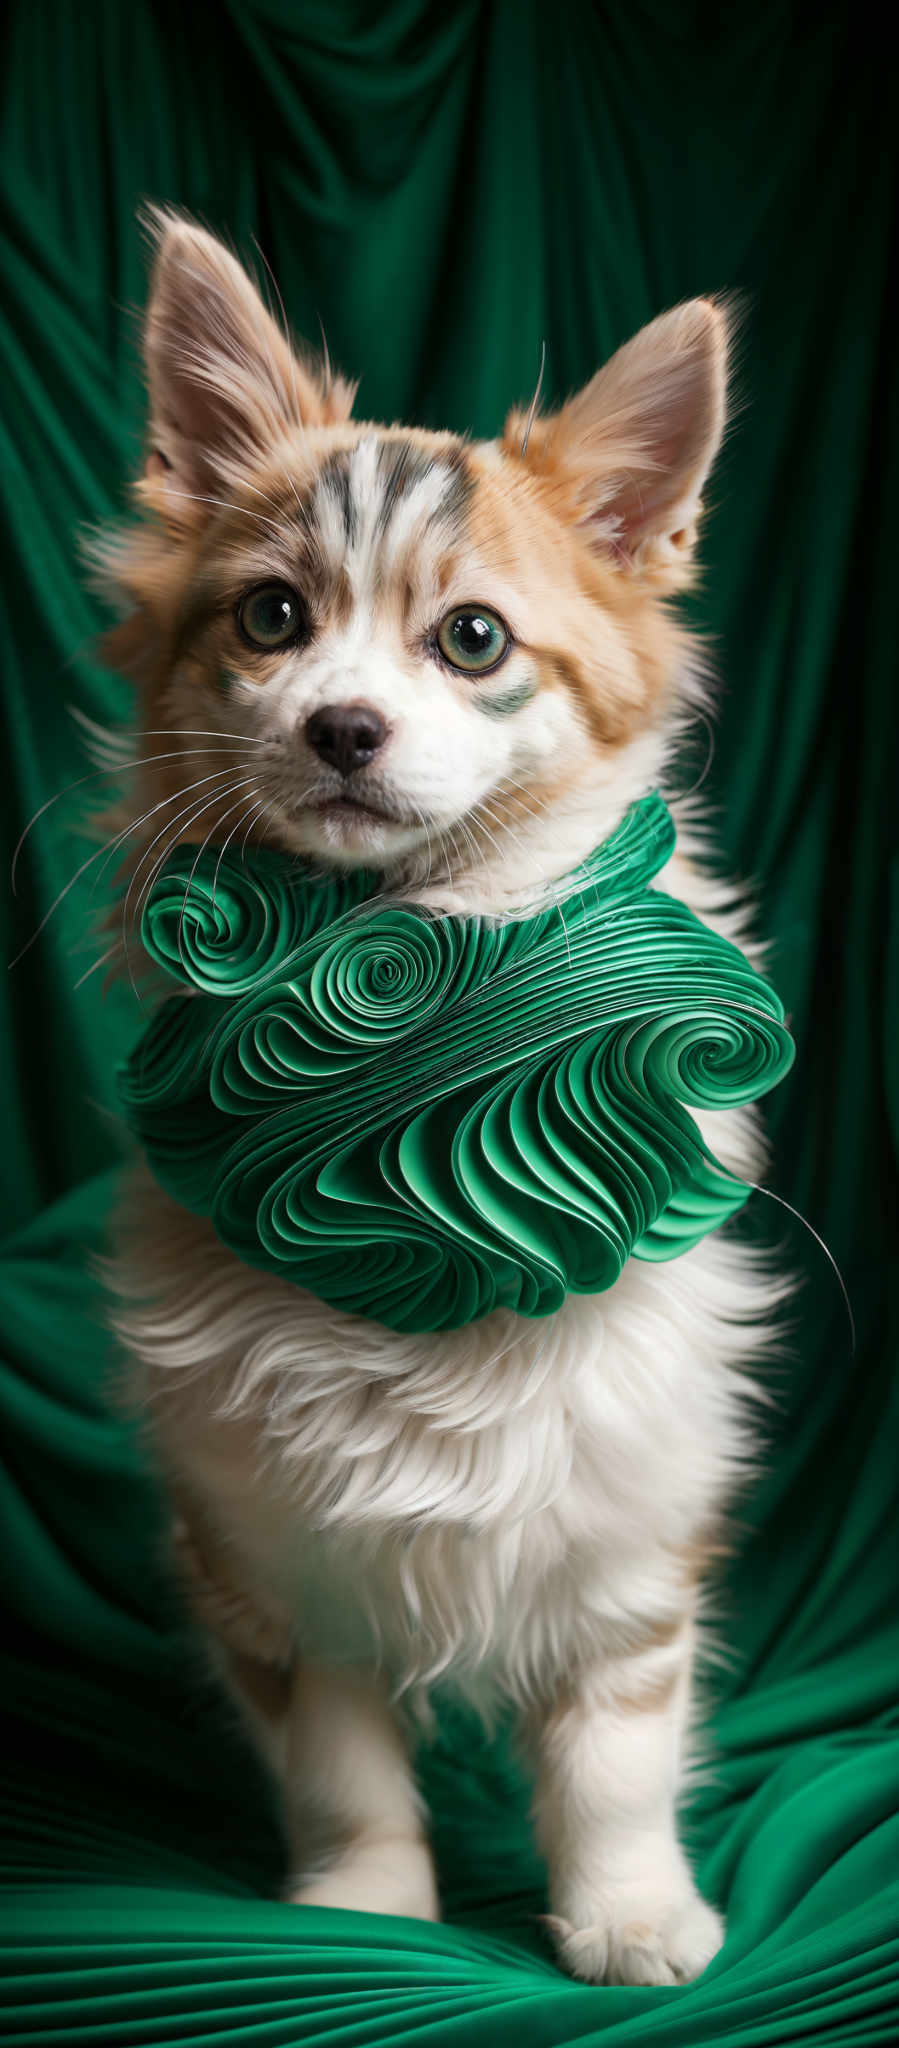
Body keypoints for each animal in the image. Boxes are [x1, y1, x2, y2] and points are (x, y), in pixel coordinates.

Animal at [98, 211, 786, 1982]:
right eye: (271, 620)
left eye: (469, 638)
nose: (342, 725)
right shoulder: (272, 1565)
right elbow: (340, 1761)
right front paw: (366, 1914)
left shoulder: (632, 1529)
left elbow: (614, 1749)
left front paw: (629, 1917)